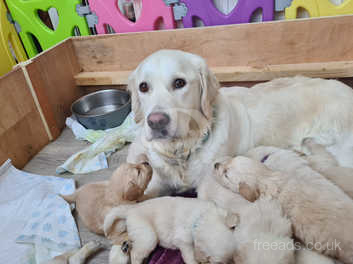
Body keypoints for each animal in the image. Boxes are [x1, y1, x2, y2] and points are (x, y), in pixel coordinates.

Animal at [103, 197, 238, 264]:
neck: (201, 217)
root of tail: (131, 209)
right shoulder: (183, 240)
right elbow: (189, 256)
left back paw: (126, 246)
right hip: (147, 235)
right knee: (136, 255)